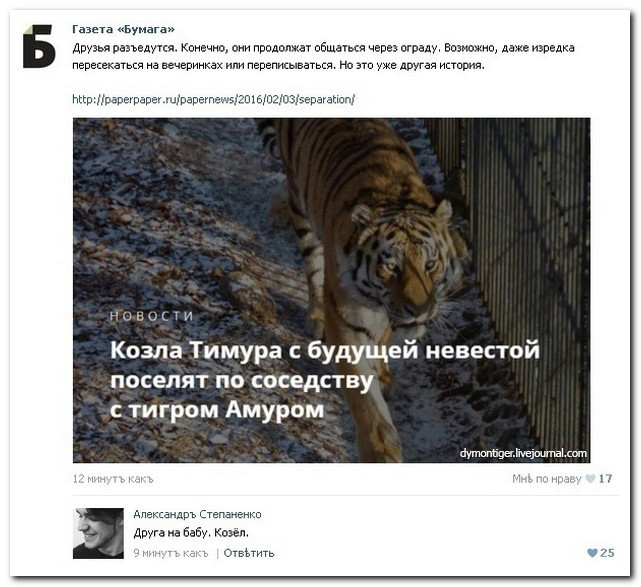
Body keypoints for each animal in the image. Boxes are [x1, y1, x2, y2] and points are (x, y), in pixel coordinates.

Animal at [258, 118, 466, 462]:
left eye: (430, 264)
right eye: (391, 267)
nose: (420, 310)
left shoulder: (387, 314)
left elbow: (382, 341)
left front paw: (382, 375)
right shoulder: (346, 320)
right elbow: (366, 402)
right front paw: (380, 453)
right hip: (301, 209)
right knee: (312, 265)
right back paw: (315, 316)